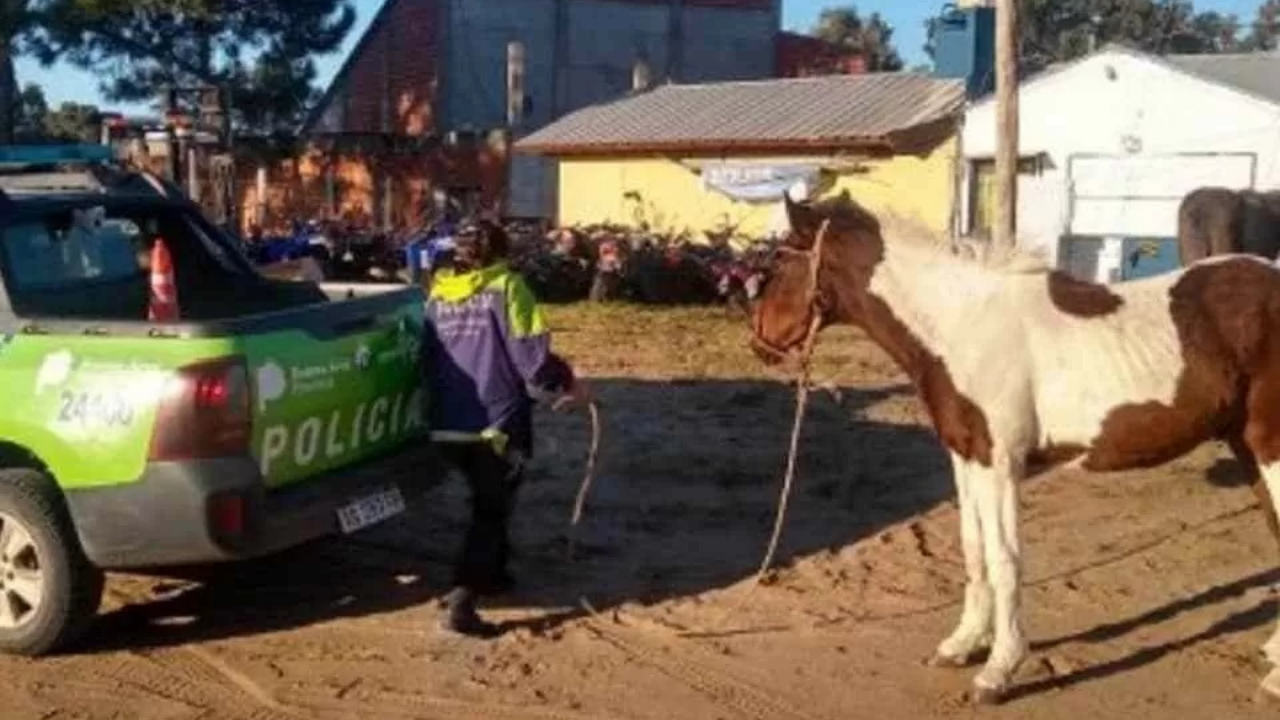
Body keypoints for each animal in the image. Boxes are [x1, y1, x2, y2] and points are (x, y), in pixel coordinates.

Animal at [747, 189, 1280, 702]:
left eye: (779, 260)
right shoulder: (966, 457)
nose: (759, 343)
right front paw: (962, 644)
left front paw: (998, 669)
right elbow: (973, 548)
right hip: (1247, 449)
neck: (962, 323)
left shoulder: (999, 461)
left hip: (1268, 447)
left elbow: (1005, 558)